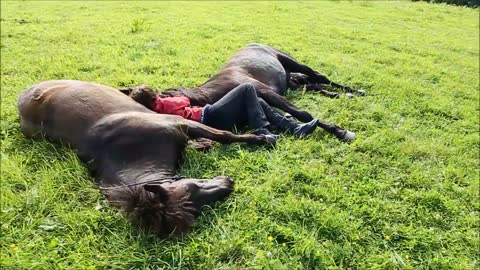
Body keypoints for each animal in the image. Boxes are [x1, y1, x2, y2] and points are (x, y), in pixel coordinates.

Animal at [16, 79, 272, 237]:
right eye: (193, 196)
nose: (230, 183)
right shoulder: (180, 124)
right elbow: (222, 135)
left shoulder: (180, 123)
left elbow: (224, 135)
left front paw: (261, 138)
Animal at [122, 42, 366, 141]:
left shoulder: (264, 91)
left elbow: (302, 113)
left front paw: (340, 131)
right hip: (291, 79)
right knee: (313, 84)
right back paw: (339, 94)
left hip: (291, 62)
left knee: (319, 77)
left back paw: (354, 91)